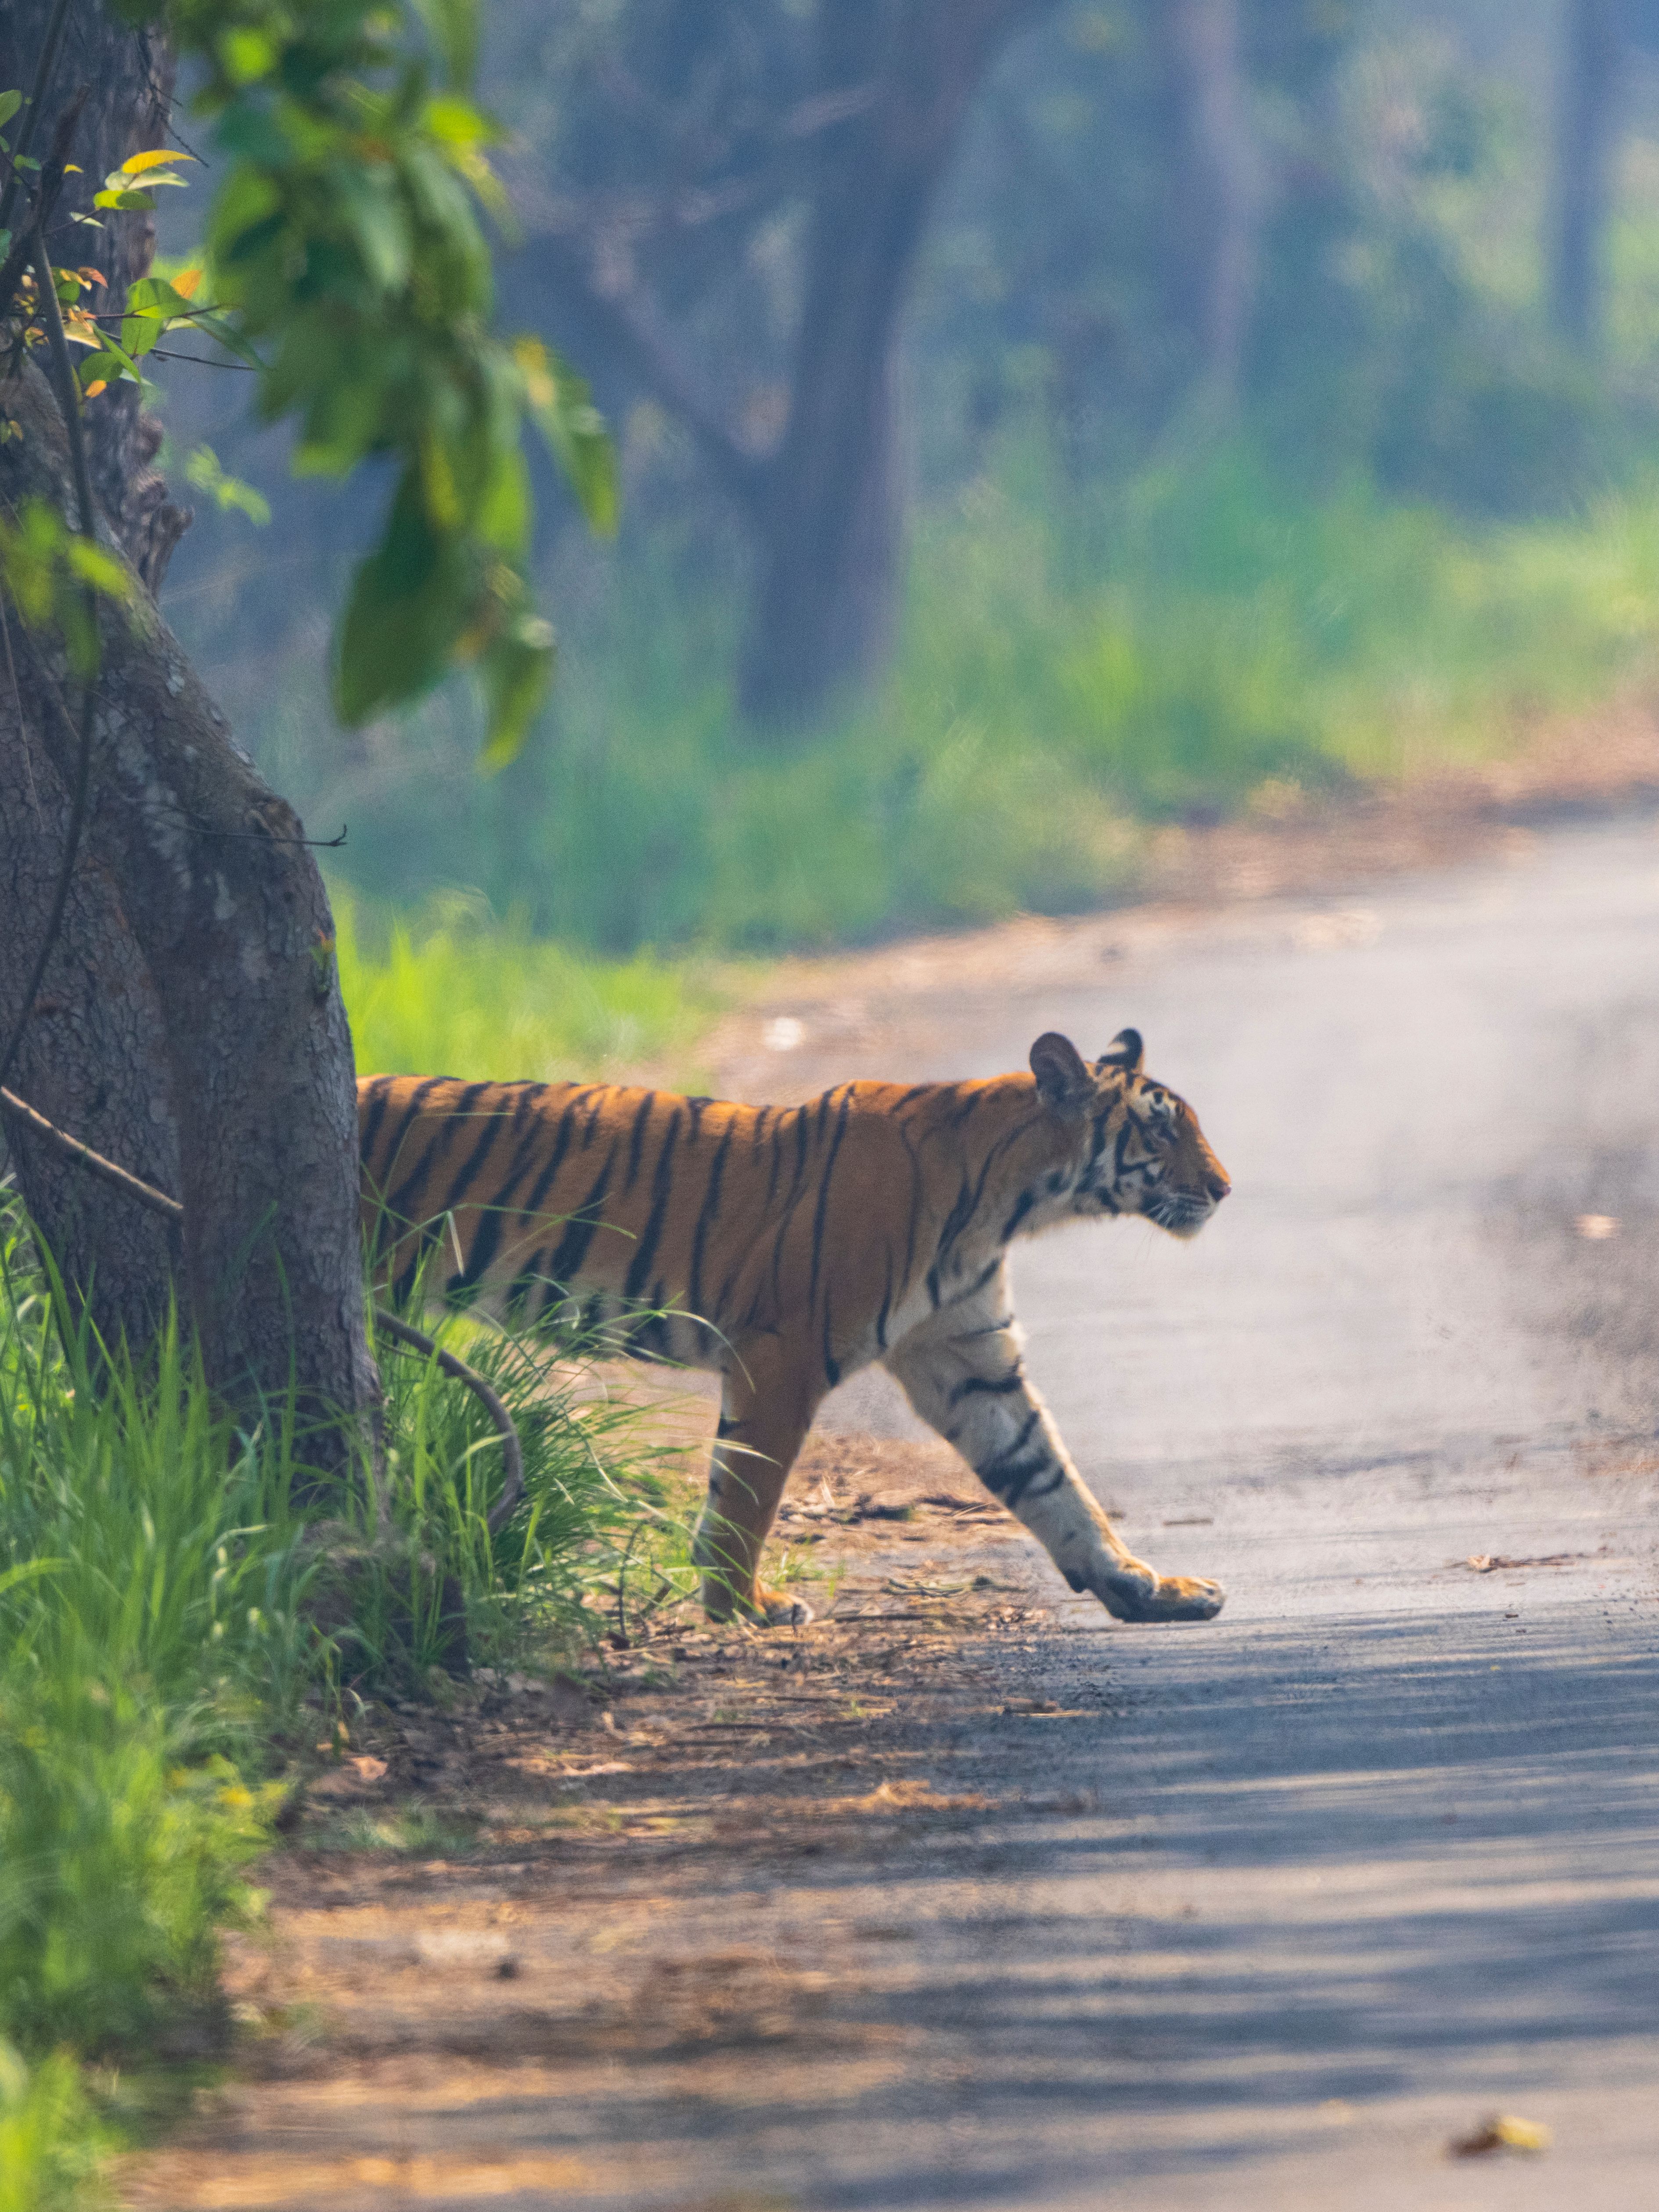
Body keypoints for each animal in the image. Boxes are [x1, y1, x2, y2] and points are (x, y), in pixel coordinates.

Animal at [358, 1026, 1231, 1630]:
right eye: (1160, 1130)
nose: (1224, 1188)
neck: (1010, 1203)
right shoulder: (782, 1350)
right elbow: (747, 1492)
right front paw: (742, 1605)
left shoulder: (966, 1355)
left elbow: (1049, 1477)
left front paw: (1142, 1585)